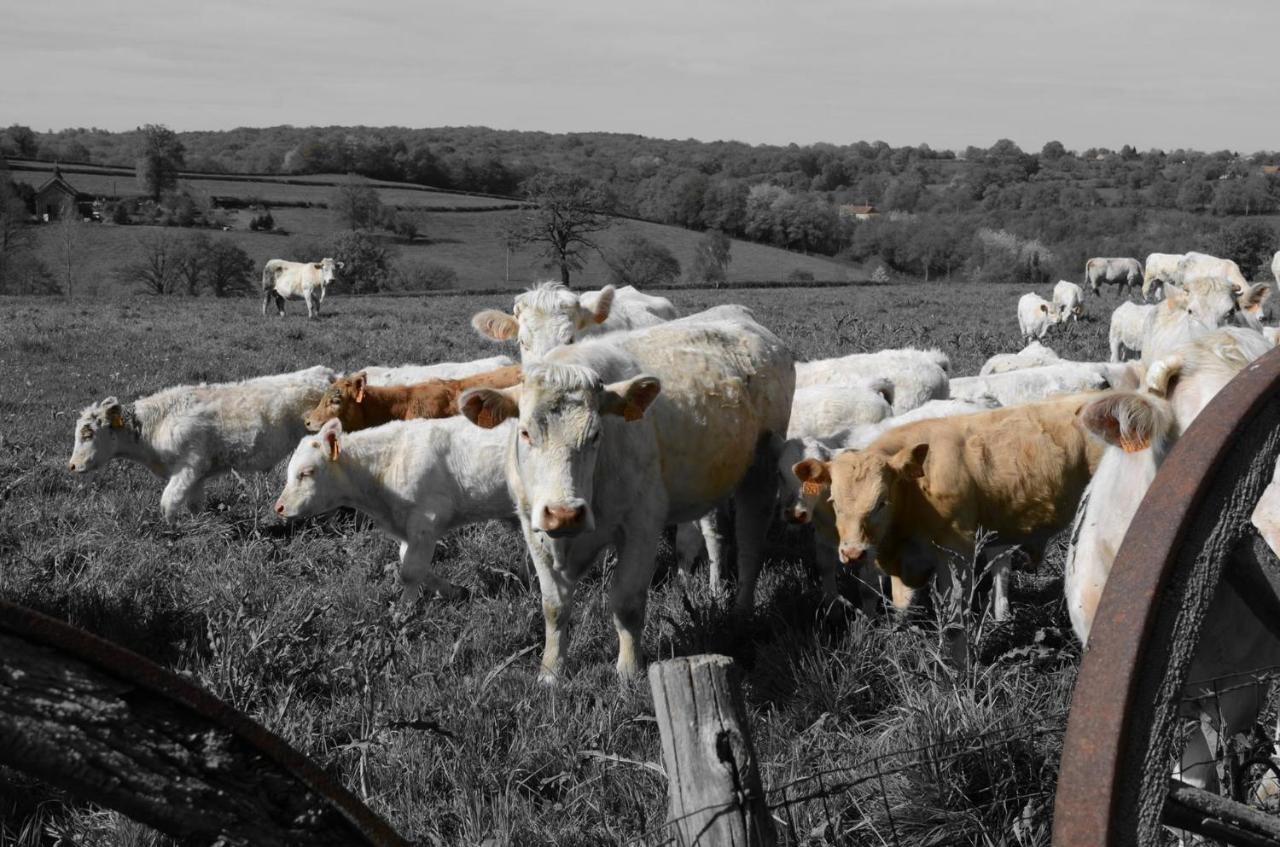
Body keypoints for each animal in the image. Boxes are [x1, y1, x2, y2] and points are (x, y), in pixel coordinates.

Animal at [68, 366, 336, 521]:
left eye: (88, 434)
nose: (71, 466)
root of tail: (326, 373)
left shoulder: (189, 465)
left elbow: (168, 503)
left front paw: (171, 532)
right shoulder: (196, 477)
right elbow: (194, 505)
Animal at [273, 417, 513, 603]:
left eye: (306, 472)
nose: (279, 507)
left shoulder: (426, 521)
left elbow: (410, 571)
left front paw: (403, 612)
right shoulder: (407, 528)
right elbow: (408, 561)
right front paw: (454, 591)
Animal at [457, 305, 794, 680]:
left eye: (596, 434)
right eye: (526, 432)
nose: (564, 513)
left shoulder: (642, 523)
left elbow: (627, 603)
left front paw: (629, 670)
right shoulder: (533, 525)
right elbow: (554, 606)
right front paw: (551, 671)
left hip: (760, 471)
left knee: (750, 545)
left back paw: (741, 614)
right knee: (717, 535)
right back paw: (717, 592)